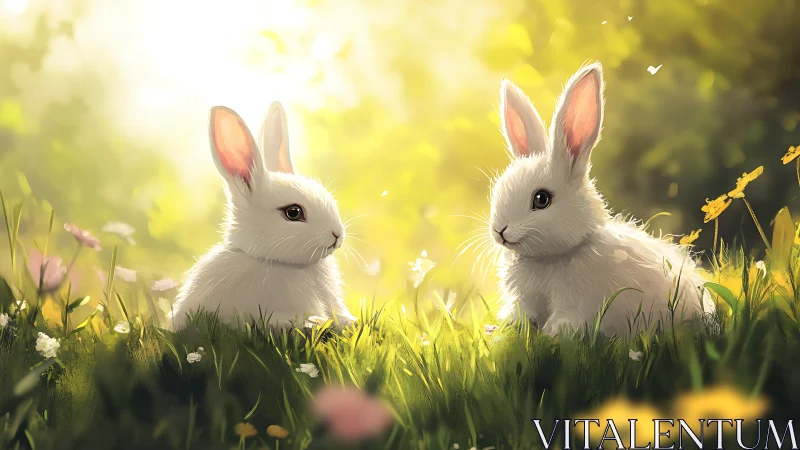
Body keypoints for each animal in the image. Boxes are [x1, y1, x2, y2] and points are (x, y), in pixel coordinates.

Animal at [488, 62, 716, 337]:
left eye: (541, 199)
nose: (499, 231)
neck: (549, 258)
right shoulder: (525, 301)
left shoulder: (575, 303)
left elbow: (564, 323)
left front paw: (551, 335)